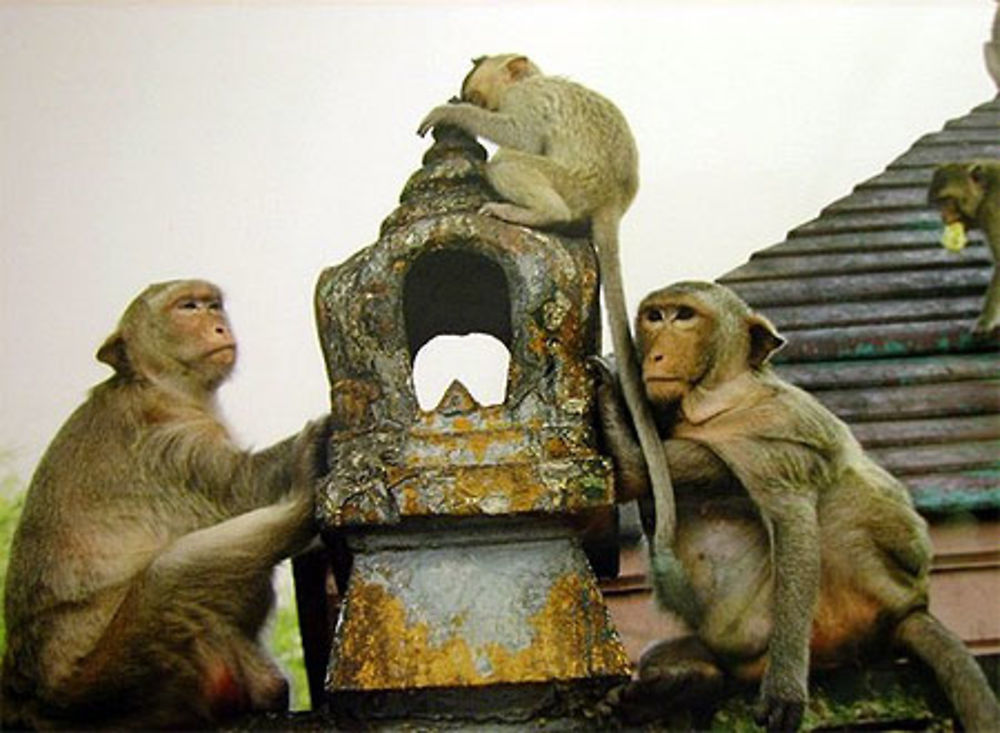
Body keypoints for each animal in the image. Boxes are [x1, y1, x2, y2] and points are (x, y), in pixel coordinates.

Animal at [1, 278, 330, 728]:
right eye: (187, 307)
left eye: (213, 305)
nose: (218, 326)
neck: (160, 385)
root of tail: (27, 700)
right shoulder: (167, 446)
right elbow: (245, 487)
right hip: (109, 680)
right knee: (174, 570)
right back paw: (298, 504)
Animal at [414, 54, 680, 560]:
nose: (468, 93)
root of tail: (610, 200)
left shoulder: (525, 101)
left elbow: (519, 135)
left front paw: (449, 113)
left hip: (571, 185)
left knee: (510, 159)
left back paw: (537, 214)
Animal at [928, 159, 1000, 336]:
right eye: (938, 204)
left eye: (947, 201)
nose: (943, 217)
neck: (986, 193)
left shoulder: (992, 212)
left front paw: (985, 322)